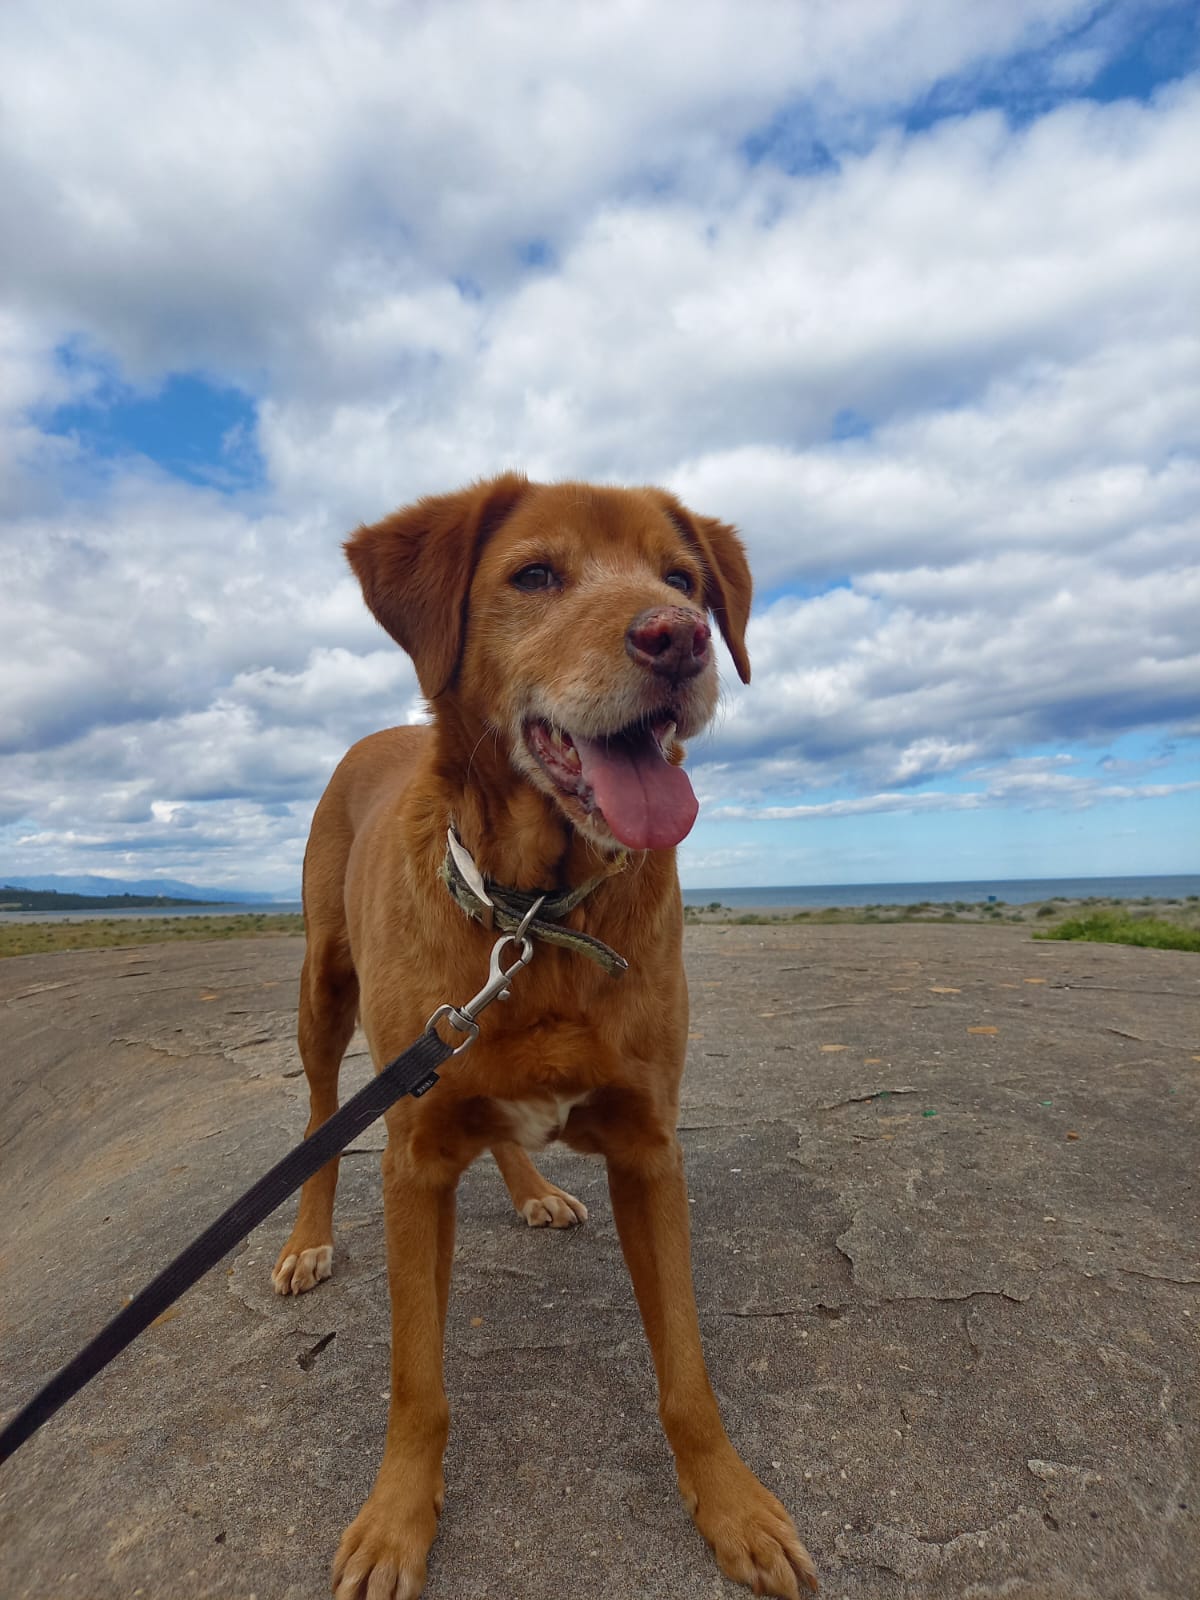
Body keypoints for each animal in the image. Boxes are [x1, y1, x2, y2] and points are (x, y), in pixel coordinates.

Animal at [272, 474, 818, 1599]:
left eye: (684, 579)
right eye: (533, 574)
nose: (678, 638)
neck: (534, 913)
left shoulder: (651, 1150)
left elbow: (687, 1368)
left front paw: (731, 1504)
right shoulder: (413, 1157)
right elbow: (417, 1381)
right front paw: (397, 1521)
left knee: (500, 1132)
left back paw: (532, 1189)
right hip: (323, 994)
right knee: (318, 1117)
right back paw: (306, 1241)